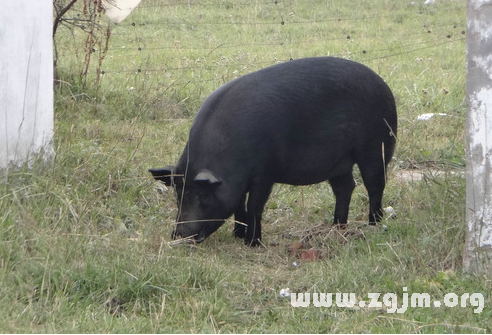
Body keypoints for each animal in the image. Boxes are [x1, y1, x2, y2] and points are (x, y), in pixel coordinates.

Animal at [149, 57, 396, 247]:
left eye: (203, 196)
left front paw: (252, 243)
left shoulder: (265, 171)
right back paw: (337, 228)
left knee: (374, 184)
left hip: (376, 146)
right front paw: (237, 235)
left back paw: (373, 224)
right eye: (178, 194)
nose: (179, 236)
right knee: (345, 188)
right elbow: (239, 204)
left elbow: (254, 205)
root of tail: (384, 85)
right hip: (338, 163)